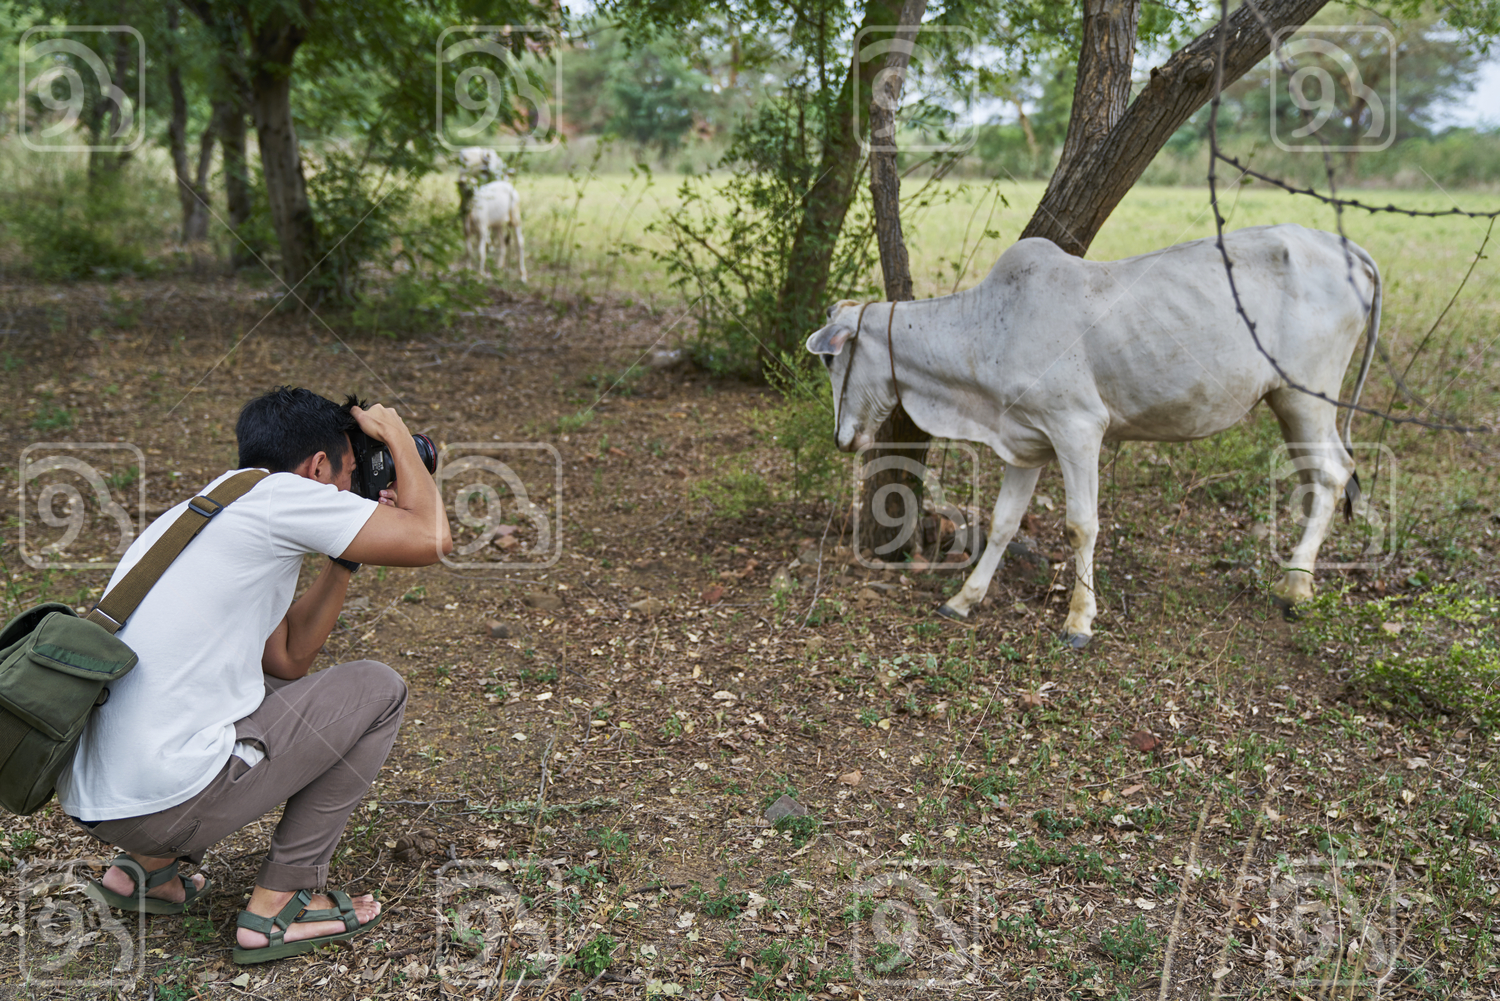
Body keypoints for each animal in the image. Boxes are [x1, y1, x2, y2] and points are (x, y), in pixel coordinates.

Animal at [805, 224, 1381, 648]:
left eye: (832, 359)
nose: (842, 438)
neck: (989, 331)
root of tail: (1343, 245)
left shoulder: (1078, 429)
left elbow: (1081, 526)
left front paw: (1078, 621)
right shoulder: (1025, 441)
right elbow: (1003, 523)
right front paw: (965, 599)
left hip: (1308, 396)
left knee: (1333, 473)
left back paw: (1296, 586)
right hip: (1287, 403)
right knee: (1317, 476)